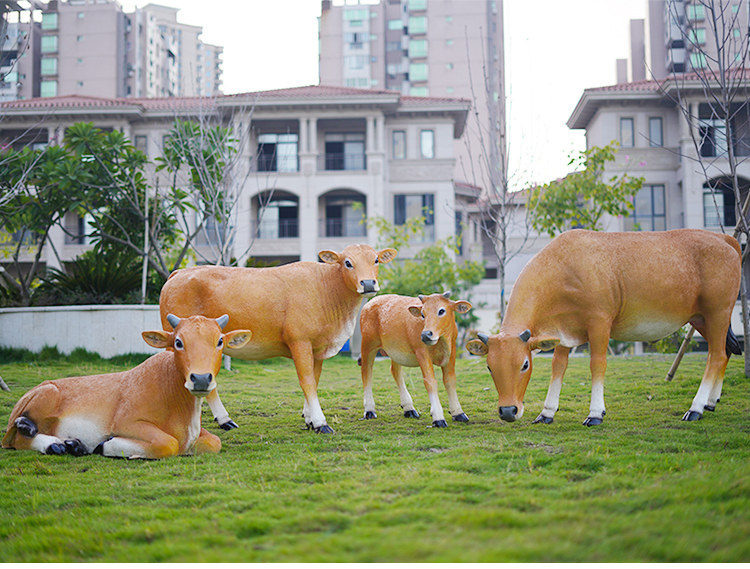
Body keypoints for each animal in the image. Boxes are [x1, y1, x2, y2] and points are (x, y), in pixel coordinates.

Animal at [0, 316, 253, 458]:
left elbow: (215, 442)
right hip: (48, 393)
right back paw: (43, 437)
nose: (200, 379)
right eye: (178, 342)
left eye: (219, 341)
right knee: (15, 440)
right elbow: (167, 443)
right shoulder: (125, 422)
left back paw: (72, 445)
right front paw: (104, 446)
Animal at [156, 242, 396, 432]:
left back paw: (225, 420)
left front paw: (309, 419)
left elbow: (315, 379)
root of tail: (179, 273)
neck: (326, 287)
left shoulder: (317, 347)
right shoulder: (299, 341)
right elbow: (307, 380)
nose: (368, 283)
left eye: (376, 260)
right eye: (347, 262)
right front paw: (320, 422)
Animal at [362, 290, 472, 424]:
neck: (442, 342)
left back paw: (409, 408)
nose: (426, 334)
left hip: (395, 351)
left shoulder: (452, 351)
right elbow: (430, 381)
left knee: (395, 372)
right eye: (422, 314)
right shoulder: (422, 352)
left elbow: (450, 380)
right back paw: (369, 410)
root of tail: (371, 302)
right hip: (368, 345)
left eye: (441, 311)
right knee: (366, 372)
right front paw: (438, 417)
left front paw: (458, 412)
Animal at [468, 229, 744, 424]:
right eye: (489, 366)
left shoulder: (599, 321)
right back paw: (711, 402)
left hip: (718, 312)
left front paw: (595, 413)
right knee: (726, 351)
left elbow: (597, 363)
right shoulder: (563, 331)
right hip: (700, 318)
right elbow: (558, 367)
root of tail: (724, 237)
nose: (507, 411)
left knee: (716, 355)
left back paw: (696, 408)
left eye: (525, 365)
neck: (564, 268)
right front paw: (547, 412)